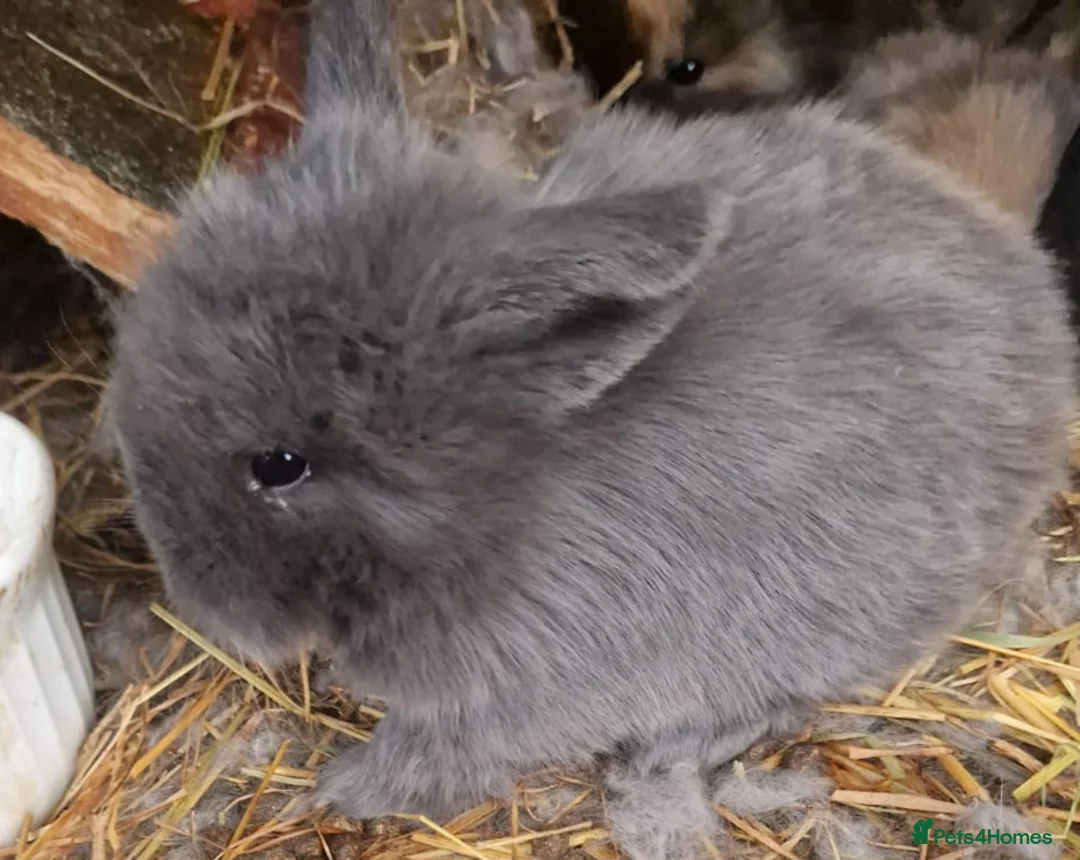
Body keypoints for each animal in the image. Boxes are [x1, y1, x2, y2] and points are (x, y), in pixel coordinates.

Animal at [105, 0, 1077, 857]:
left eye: (281, 464)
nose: (195, 602)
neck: (506, 499)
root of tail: (1032, 304)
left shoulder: (519, 695)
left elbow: (438, 755)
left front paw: (338, 793)